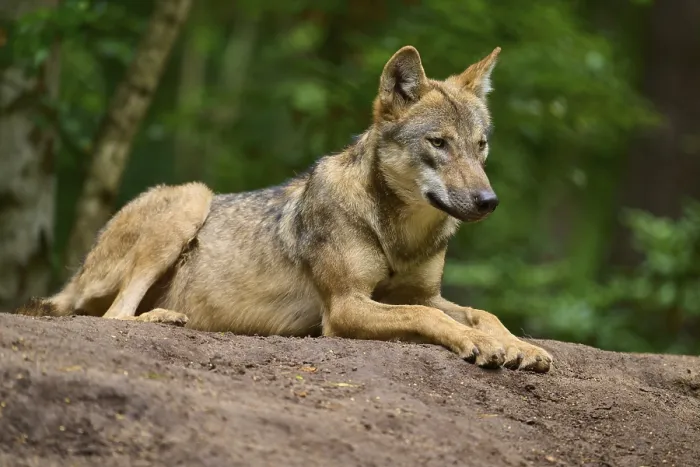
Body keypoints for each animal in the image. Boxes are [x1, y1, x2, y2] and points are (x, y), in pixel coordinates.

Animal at [18, 46, 553, 372]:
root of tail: (78, 273)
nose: (489, 201)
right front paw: (482, 344)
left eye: (480, 146)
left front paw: (519, 345)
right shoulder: (344, 308)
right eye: (438, 144)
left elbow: (481, 312)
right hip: (192, 196)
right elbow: (431, 319)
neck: (399, 234)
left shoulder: (425, 293)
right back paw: (164, 318)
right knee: (112, 316)